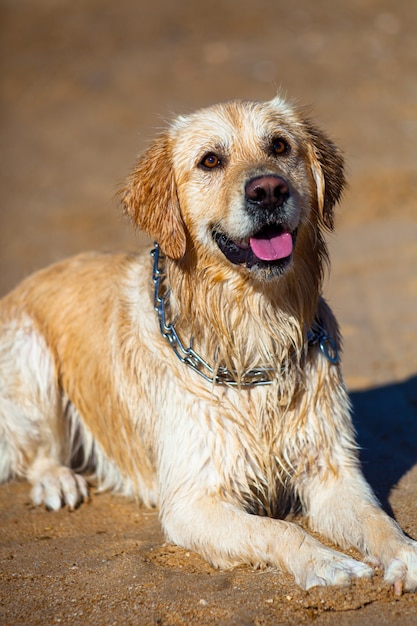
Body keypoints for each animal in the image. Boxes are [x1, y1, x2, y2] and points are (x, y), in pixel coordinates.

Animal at [0, 97, 414, 588]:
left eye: (279, 146)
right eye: (210, 161)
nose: (268, 190)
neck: (253, 328)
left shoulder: (331, 470)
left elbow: (376, 519)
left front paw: (407, 555)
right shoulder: (192, 500)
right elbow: (279, 529)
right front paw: (326, 562)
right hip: (30, 354)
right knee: (36, 453)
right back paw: (58, 481)